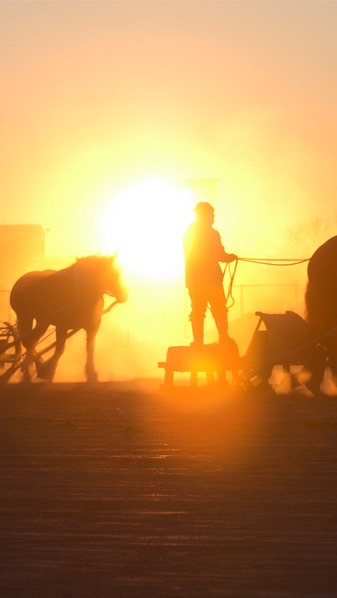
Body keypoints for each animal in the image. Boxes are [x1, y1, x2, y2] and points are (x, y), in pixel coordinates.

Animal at [9, 254, 127, 384]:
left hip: (41, 321)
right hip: (26, 317)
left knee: (31, 341)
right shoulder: (62, 326)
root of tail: (21, 281)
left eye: (118, 272)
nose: (124, 295)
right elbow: (60, 349)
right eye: (111, 274)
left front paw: (91, 374)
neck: (80, 293)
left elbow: (90, 348)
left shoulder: (93, 326)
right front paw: (49, 372)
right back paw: (36, 370)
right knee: (28, 342)